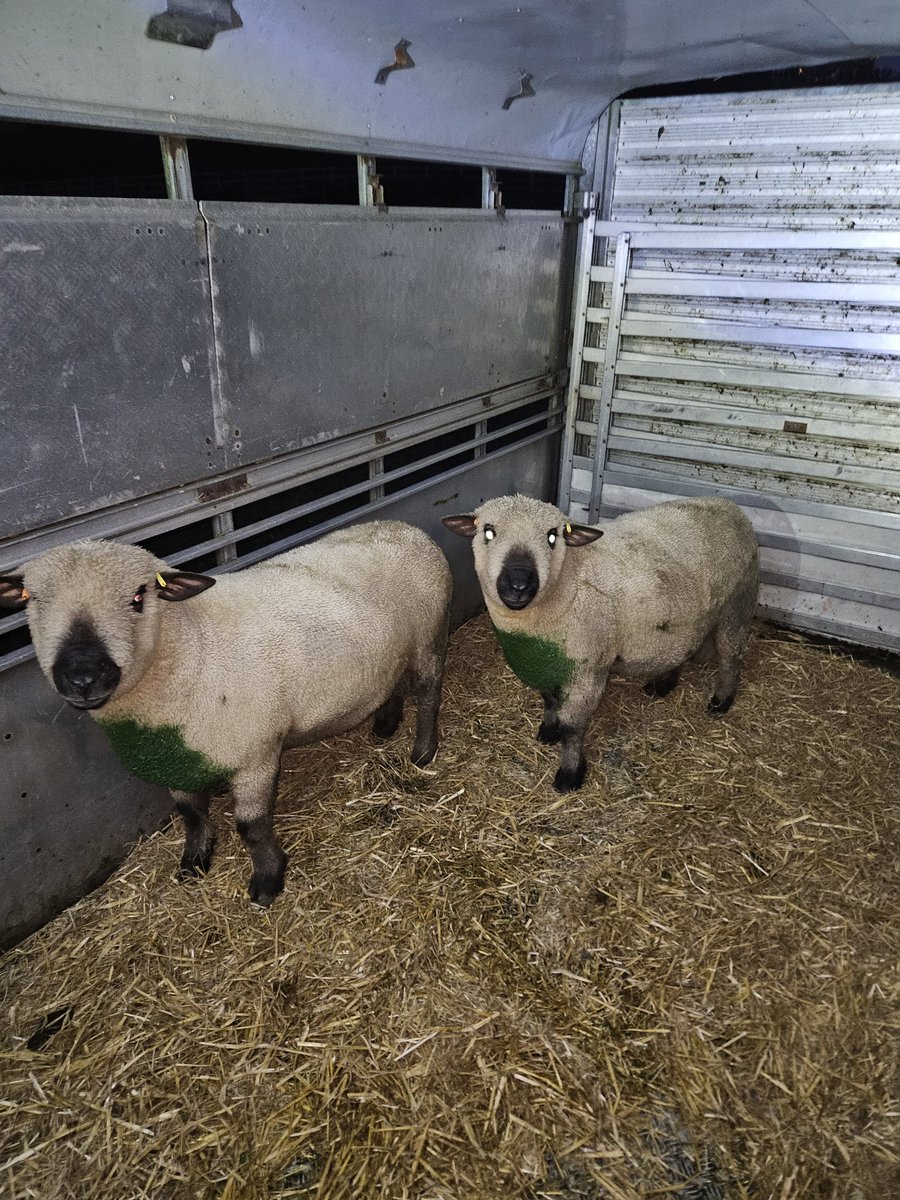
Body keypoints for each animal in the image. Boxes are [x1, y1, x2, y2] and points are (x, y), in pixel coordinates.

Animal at [0, 521, 452, 905]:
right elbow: (190, 814)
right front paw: (194, 861)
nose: (81, 675)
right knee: (391, 683)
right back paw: (385, 726)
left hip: (427, 640)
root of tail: (408, 528)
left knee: (429, 693)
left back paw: (423, 752)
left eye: (139, 597)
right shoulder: (177, 756)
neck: (190, 646)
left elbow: (252, 827)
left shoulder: (256, 754)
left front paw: (268, 881)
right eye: (30, 599)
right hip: (389, 652)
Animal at [443, 494, 759, 793]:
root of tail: (729, 506)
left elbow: (573, 727)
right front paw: (548, 731)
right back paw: (663, 684)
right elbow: (549, 701)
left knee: (731, 655)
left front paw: (570, 774)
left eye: (553, 536)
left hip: (737, 603)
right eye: (488, 531)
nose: (519, 585)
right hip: (683, 618)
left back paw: (721, 702)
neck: (569, 581)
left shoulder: (588, 669)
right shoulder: (546, 663)